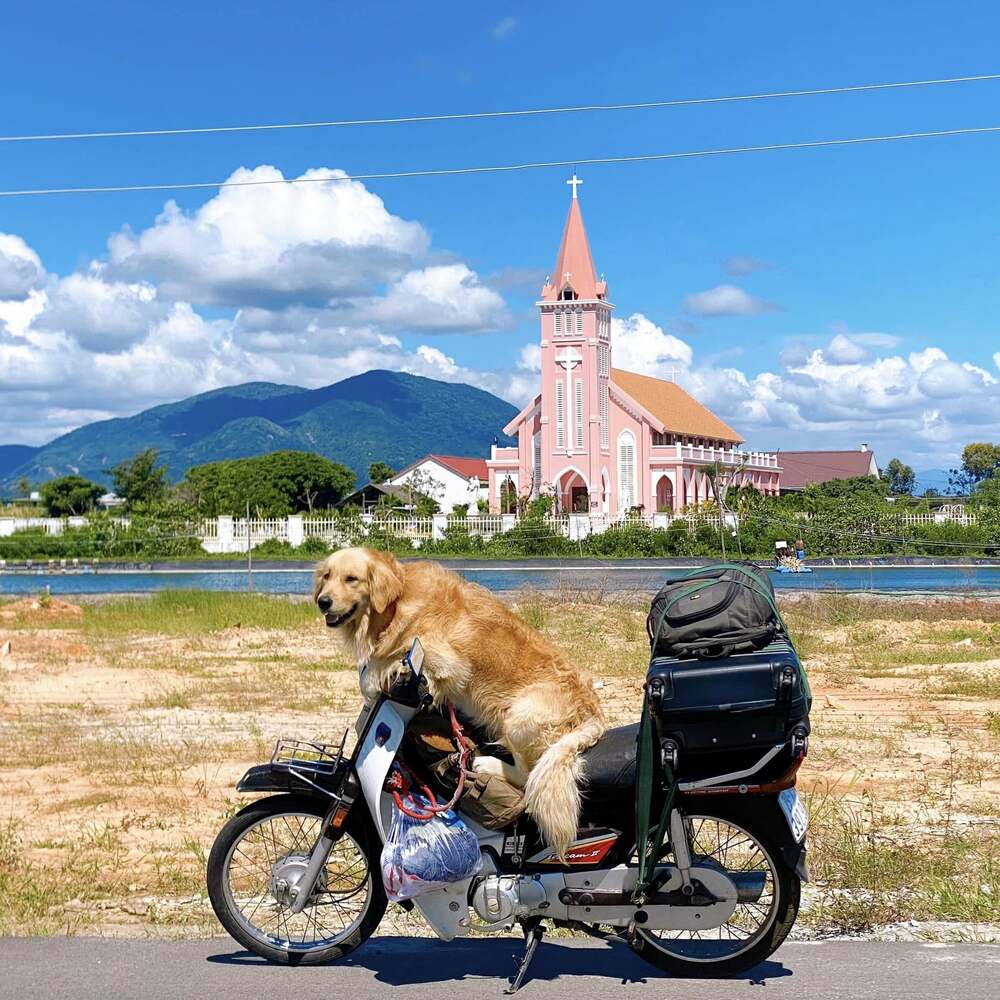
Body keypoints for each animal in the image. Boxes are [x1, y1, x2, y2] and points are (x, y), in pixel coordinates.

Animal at [316, 548, 604, 852]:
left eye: (352, 579)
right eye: (327, 576)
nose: (323, 602)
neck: (396, 603)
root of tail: (594, 712)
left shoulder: (446, 662)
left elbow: (387, 662)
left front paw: (370, 680)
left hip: (518, 715)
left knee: (527, 776)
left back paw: (486, 764)